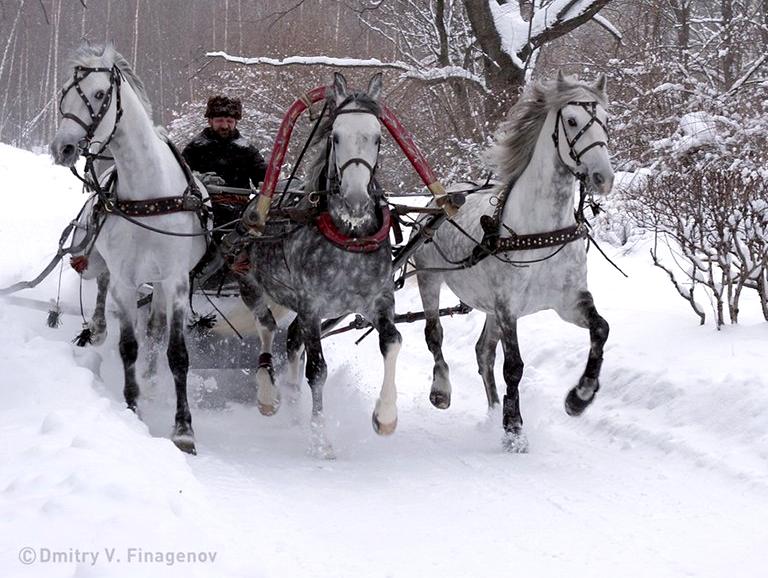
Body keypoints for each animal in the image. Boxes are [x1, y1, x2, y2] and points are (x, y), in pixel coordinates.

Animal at [50, 42, 207, 452]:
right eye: (64, 95)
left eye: (99, 95)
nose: (62, 147)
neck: (148, 195)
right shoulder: (125, 278)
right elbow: (128, 346)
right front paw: (131, 407)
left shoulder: (176, 280)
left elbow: (176, 353)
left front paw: (183, 429)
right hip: (99, 260)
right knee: (103, 286)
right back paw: (99, 328)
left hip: (162, 283)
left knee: (156, 327)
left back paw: (151, 377)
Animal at [412, 73, 616, 450]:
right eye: (572, 121)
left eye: (606, 121)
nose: (603, 178)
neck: (540, 230)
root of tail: (438, 203)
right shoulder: (508, 307)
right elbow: (515, 367)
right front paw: (514, 429)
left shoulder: (568, 302)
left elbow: (601, 329)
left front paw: (579, 397)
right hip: (429, 278)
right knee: (434, 334)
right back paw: (442, 390)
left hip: (489, 305)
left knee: (483, 351)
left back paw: (493, 410)